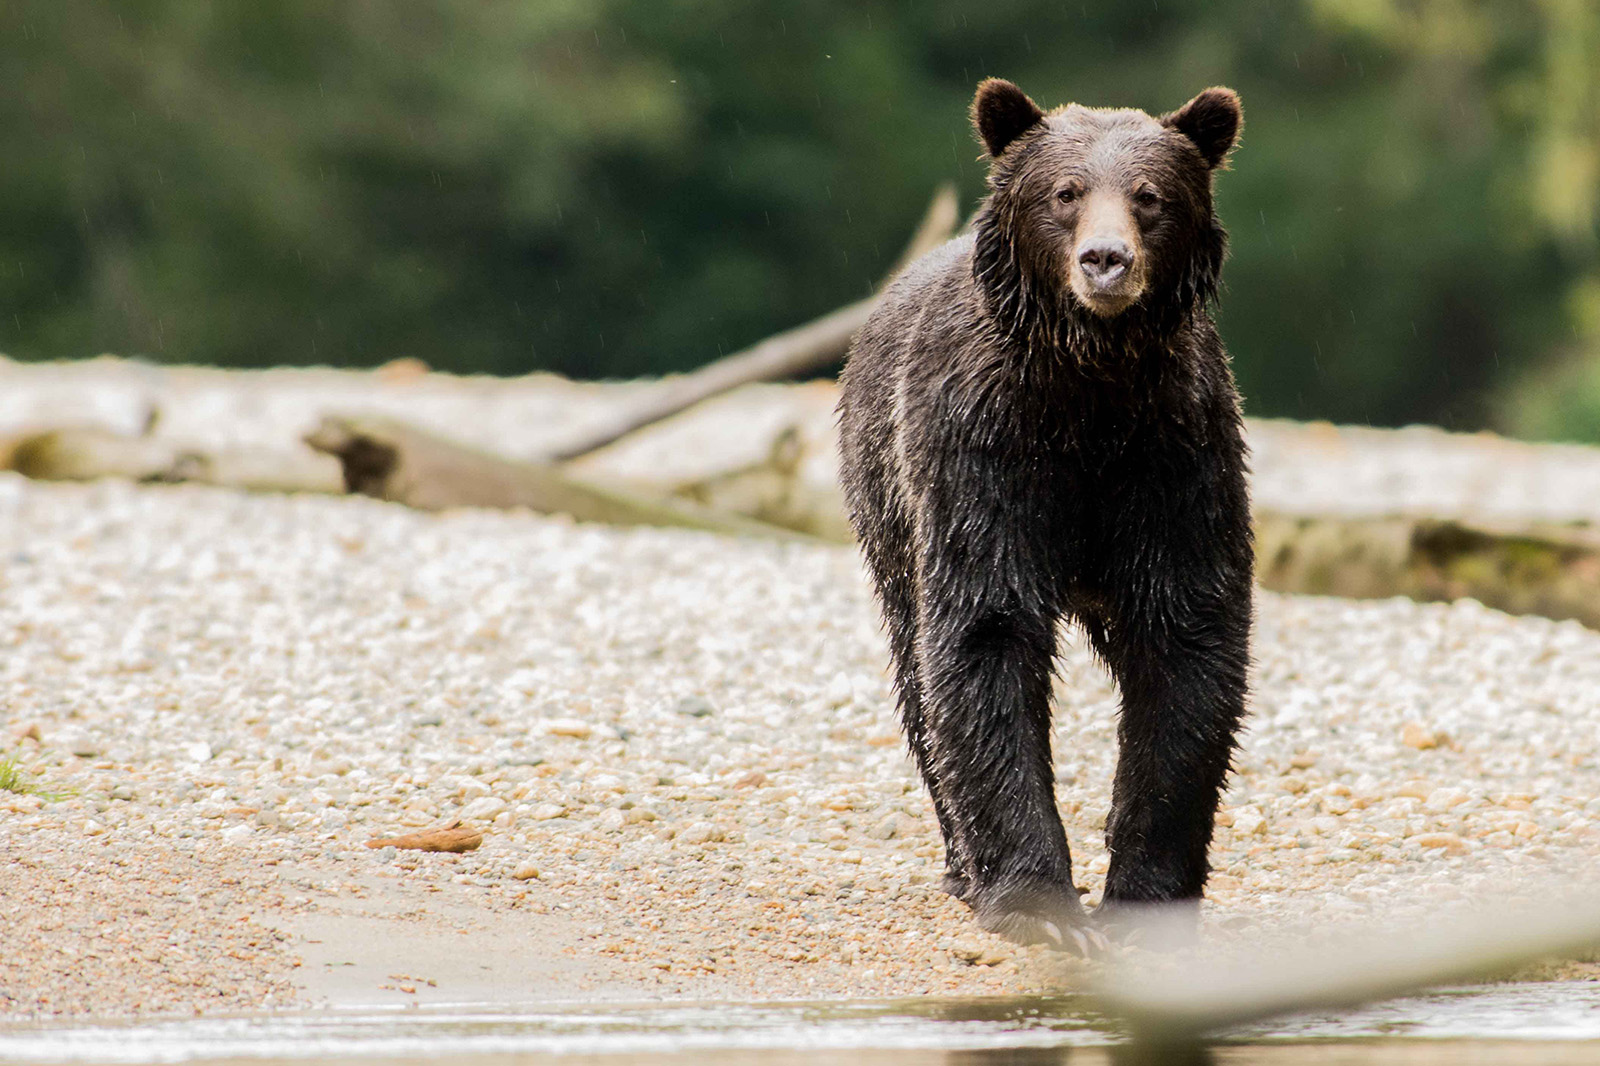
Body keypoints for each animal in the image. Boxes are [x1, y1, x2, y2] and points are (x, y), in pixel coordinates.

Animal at [832, 78, 1254, 947]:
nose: (1106, 260)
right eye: (1065, 192)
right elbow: (983, 636)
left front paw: (1147, 893)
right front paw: (1038, 902)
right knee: (917, 667)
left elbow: (1188, 640)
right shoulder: (982, 451)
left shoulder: (1173, 457)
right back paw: (962, 866)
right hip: (887, 506)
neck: (1088, 394)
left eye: (1151, 196)